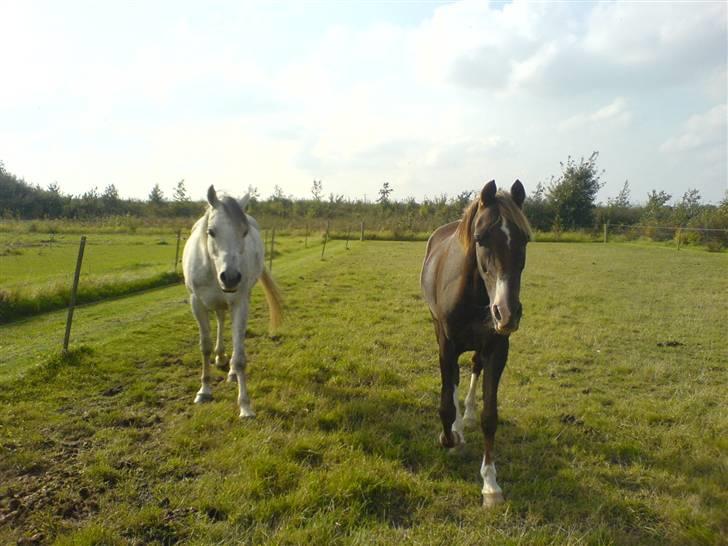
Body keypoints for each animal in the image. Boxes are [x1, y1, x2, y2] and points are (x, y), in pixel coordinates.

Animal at [182, 185, 282, 418]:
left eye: (244, 232)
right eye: (211, 232)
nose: (230, 277)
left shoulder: (239, 303)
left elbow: (240, 357)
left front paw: (245, 406)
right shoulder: (196, 303)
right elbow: (205, 346)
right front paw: (204, 390)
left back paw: (231, 372)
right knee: (220, 319)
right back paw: (219, 357)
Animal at [420, 179, 531, 507]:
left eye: (525, 239)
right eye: (481, 239)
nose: (506, 312)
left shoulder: (497, 348)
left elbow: (489, 416)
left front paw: (490, 484)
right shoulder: (446, 343)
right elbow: (446, 403)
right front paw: (450, 438)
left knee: (472, 367)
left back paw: (466, 414)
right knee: (455, 378)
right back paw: (458, 427)